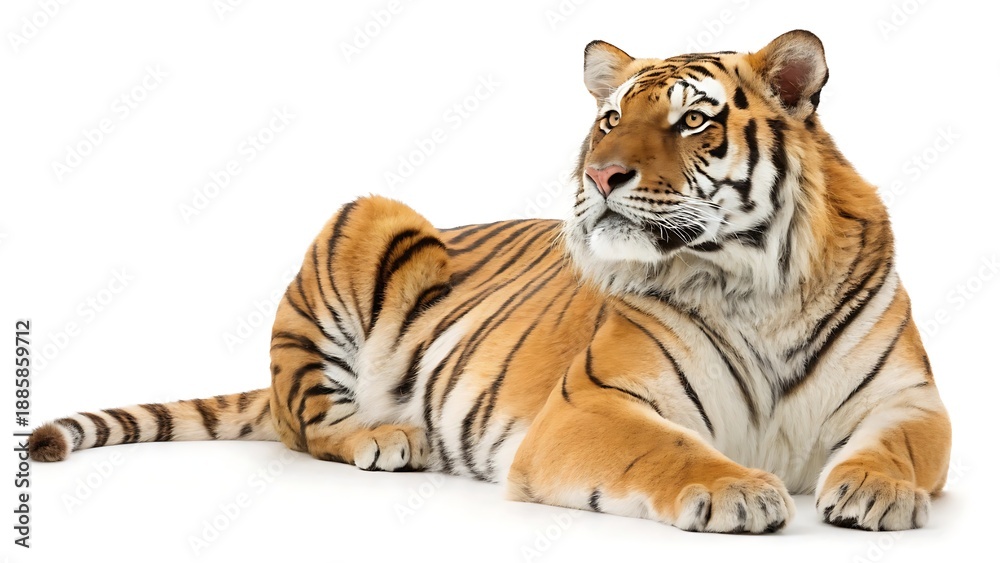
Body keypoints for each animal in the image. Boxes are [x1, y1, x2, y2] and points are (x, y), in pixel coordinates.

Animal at [29, 30, 951, 534]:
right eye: (610, 118)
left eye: (693, 119)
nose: (602, 174)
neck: (755, 284)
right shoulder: (595, 405)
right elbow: (672, 448)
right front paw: (737, 489)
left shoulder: (910, 399)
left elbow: (903, 447)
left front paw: (874, 490)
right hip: (366, 220)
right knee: (306, 423)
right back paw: (387, 435)